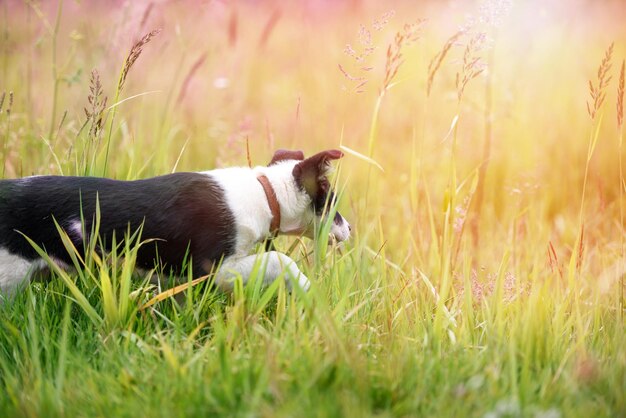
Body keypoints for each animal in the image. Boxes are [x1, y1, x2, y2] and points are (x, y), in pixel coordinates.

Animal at [0, 149, 348, 296]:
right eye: (333, 202)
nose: (349, 229)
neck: (264, 193)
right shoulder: (211, 269)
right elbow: (280, 259)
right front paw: (310, 292)